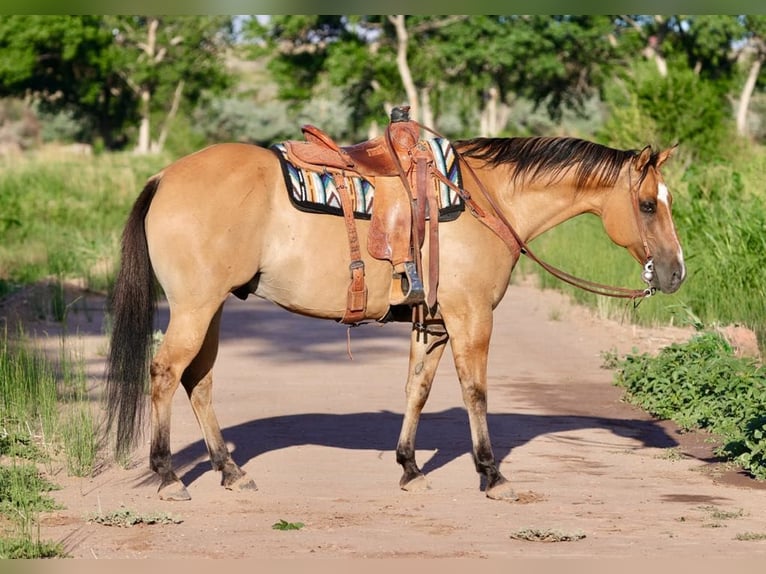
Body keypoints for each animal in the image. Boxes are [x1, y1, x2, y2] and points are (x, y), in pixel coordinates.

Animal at [104, 132, 686, 502]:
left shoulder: (435, 322)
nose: (677, 272)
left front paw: (409, 468)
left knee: (198, 382)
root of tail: (165, 177)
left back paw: (230, 471)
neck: (485, 200)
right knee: (165, 374)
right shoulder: (471, 316)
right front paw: (491, 474)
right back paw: (168, 477)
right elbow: (475, 392)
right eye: (648, 205)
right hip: (195, 308)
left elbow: (418, 389)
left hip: (213, 308)